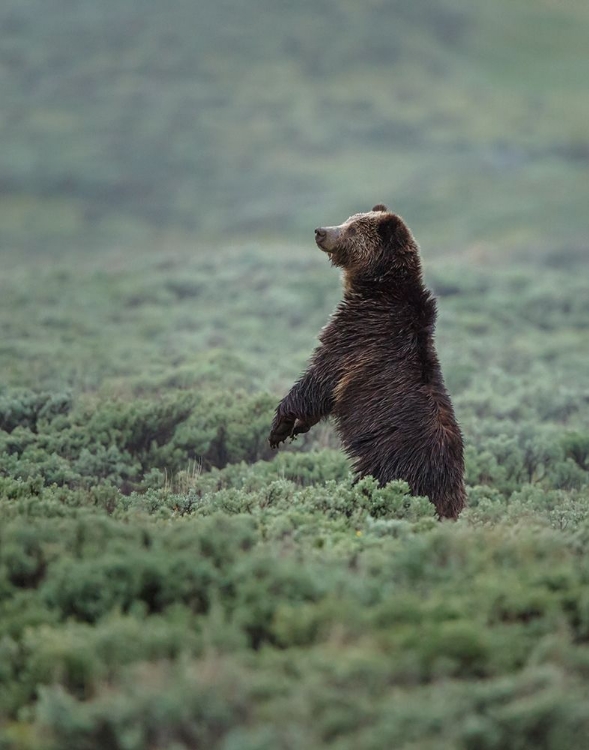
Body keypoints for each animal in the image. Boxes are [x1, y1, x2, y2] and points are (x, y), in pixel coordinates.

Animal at [268, 206, 466, 524]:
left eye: (352, 228)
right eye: (347, 220)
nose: (320, 231)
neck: (379, 290)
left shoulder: (357, 338)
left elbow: (320, 378)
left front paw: (281, 425)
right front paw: (299, 426)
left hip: (392, 461)